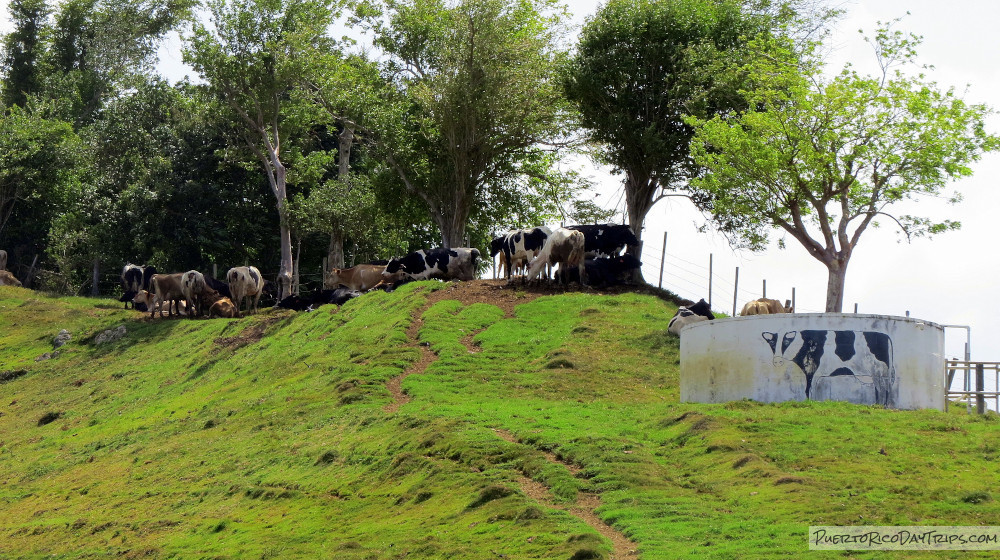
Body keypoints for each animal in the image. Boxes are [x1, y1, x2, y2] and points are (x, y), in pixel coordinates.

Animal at [764, 328, 900, 406]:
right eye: (772, 343)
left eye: (786, 342)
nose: (777, 361)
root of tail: (886, 336)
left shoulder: (813, 371)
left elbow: (809, 389)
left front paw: (810, 402)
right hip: (876, 374)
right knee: (879, 389)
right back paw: (877, 405)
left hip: (880, 371)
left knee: (884, 388)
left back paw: (882, 406)